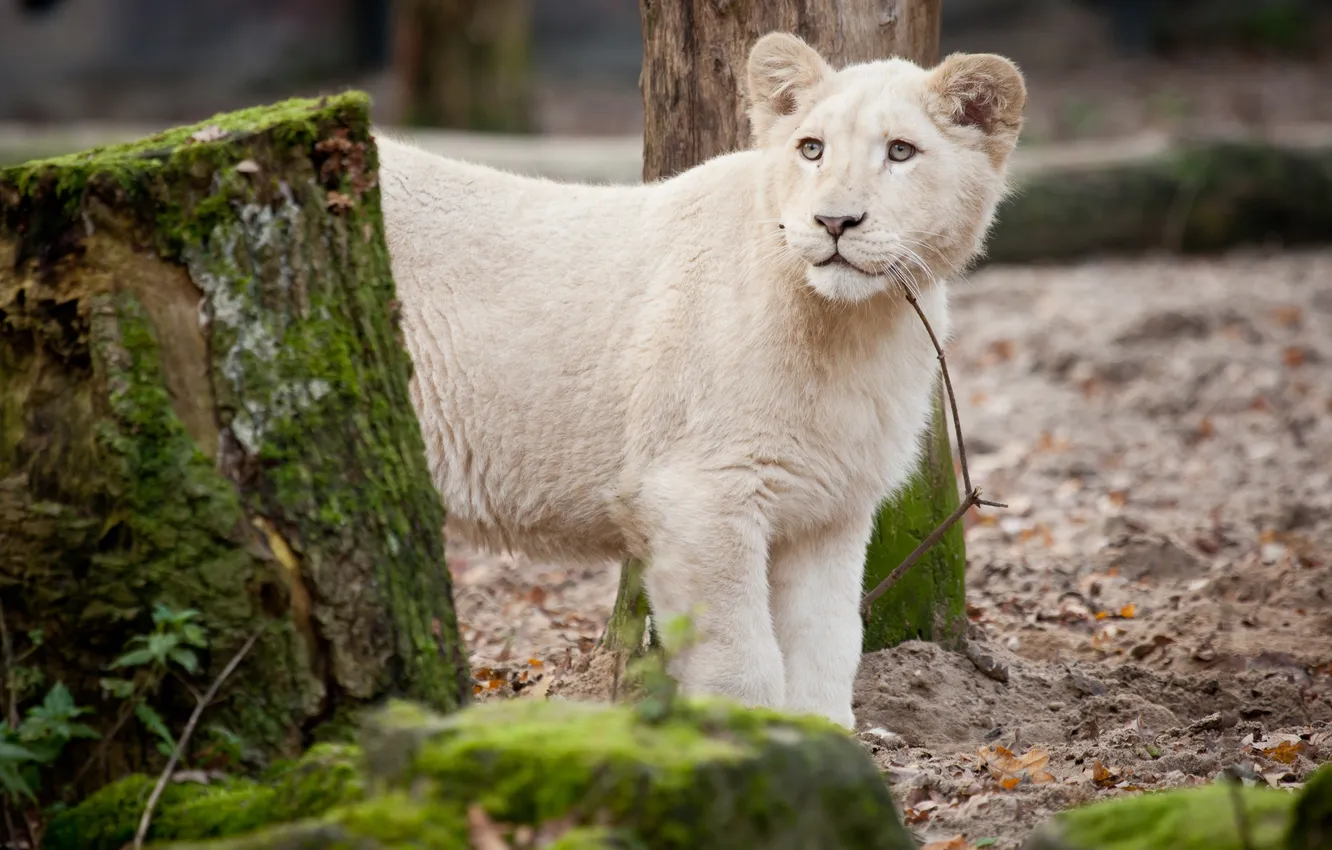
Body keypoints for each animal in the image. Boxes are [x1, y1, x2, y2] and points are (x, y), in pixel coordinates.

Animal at [376, 32, 1026, 729]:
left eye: (900, 151)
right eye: (812, 148)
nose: (833, 222)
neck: (855, 326)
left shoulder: (832, 508)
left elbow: (828, 642)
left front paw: (823, 736)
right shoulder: (697, 493)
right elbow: (741, 660)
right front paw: (752, 741)